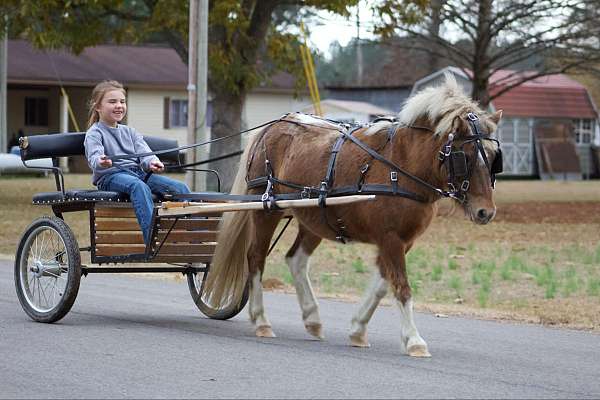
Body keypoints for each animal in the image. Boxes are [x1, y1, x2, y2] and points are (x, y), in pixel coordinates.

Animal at [204, 73, 504, 358]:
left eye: (493, 159)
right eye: (464, 156)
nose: (485, 212)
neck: (402, 165)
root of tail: (271, 127)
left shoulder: (402, 241)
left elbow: (383, 285)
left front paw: (358, 330)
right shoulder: (390, 238)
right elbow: (401, 286)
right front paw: (415, 341)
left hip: (313, 217)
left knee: (296, 260)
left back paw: (312, 318)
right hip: (266, 211)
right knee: (256, 258)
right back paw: (262, 321)